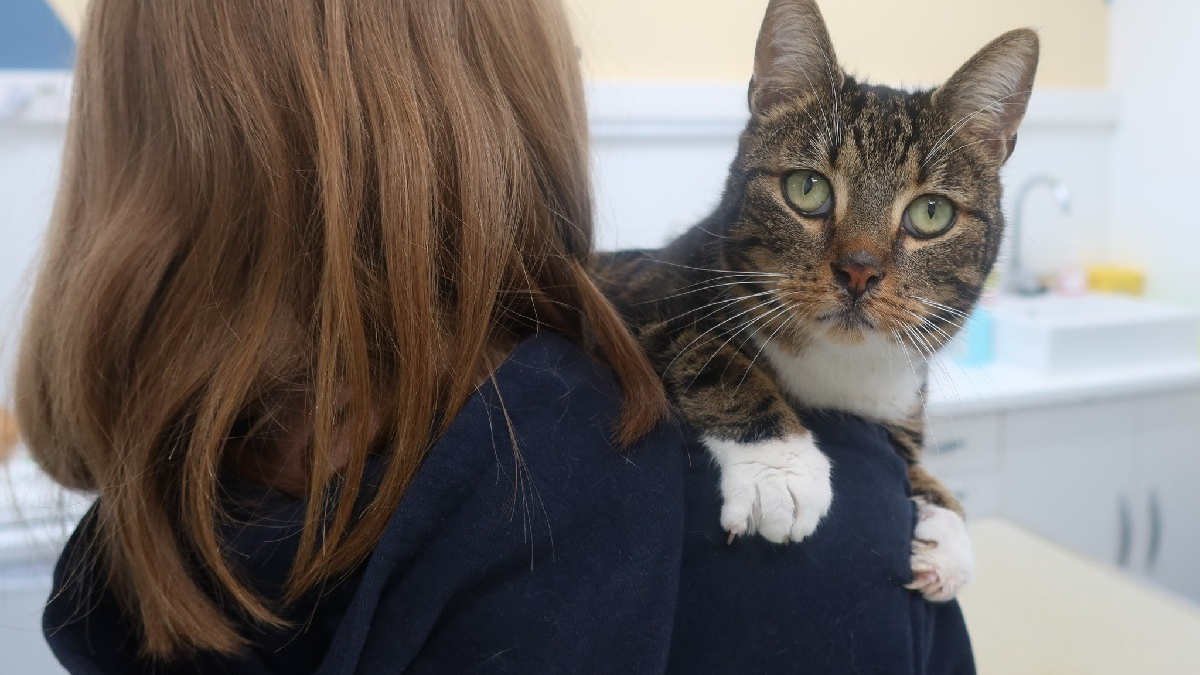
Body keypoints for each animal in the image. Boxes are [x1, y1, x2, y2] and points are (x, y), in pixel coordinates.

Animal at [595, 0, 1036, 598]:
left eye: (932, 213)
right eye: (807, 189)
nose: (859, 270)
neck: (837, 365)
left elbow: (912, 458)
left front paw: (945, 532)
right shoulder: (635, 301)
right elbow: (710, 353)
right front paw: (779, 469)